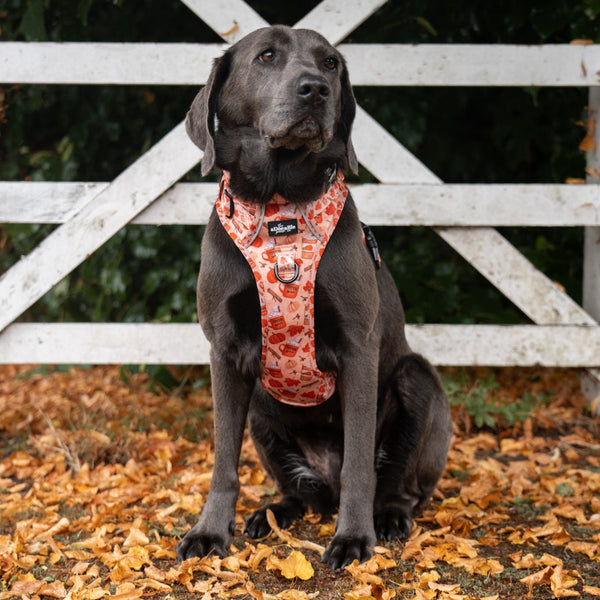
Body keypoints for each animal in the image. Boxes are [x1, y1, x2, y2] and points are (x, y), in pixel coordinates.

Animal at [176, 24, 452, 568]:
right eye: (266, 56)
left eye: (330, 64)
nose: (315, 90)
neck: (279, 209)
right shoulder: (223, 351)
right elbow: (223, 460)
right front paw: (211, 531)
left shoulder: (358, 347)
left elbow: (361, 466)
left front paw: (353, 538)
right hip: (261, 403)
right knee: (300, 492)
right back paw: (273, 512)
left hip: (417, 379)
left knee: (399, 484)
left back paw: (388, 517)